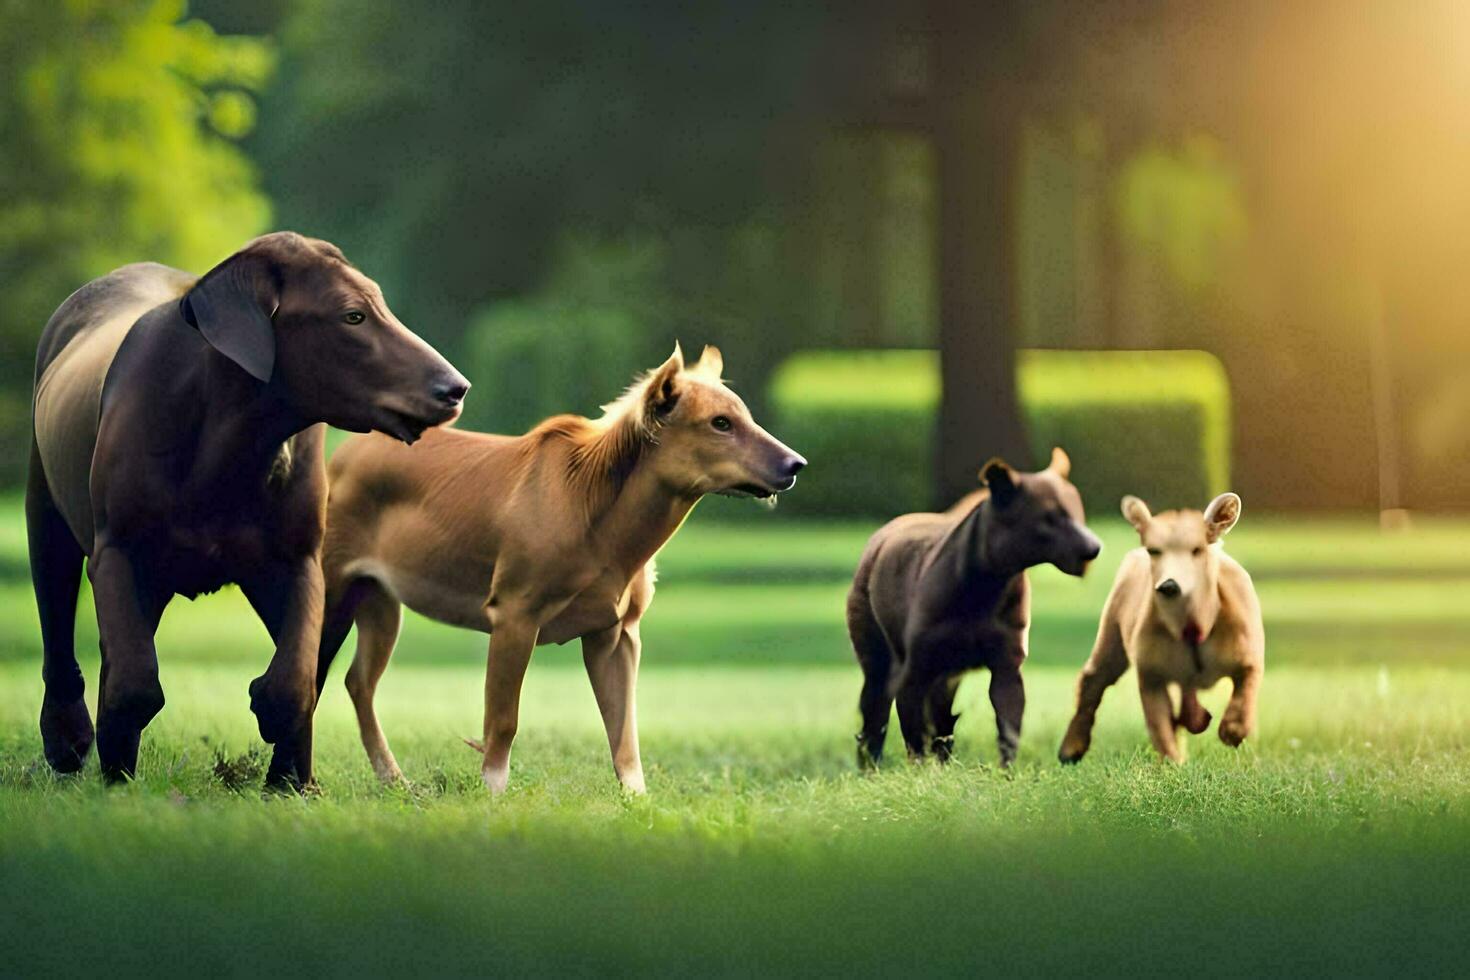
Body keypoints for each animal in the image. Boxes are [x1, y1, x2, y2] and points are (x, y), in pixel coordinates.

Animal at [317, 348, 811, 793]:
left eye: (744, 416)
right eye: (720, 423)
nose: (796, 464)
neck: (595, 514)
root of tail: (339, 458)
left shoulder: (616, 633)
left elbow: (624, 734)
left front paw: (636, 801)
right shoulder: (514, 615)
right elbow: (503, 721)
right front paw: (493, 792)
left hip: (379, 599)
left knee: (358, 682)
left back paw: (393, 778)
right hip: (334, 590)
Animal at [1058, 493, 1264, 764]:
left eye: (1197, 550)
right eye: (1154, 550)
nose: (1169, 585)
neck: (1191, 628)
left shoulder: (1247, 649)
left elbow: (1246, 689)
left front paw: (1232, 732)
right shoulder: (1151, 669)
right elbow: (1159, 723)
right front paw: (1173, 763)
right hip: (1112, 627)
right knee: (1095, 678)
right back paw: (1070, 750)